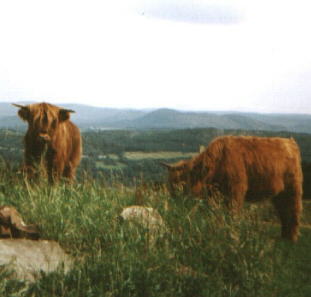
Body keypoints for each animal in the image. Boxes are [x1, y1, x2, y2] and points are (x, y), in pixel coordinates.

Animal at [163, 135, 304, 242]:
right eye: (170, 182)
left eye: (180, 182)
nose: (173, 197)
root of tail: (289, 142)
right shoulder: (215, 196)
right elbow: (217, 215)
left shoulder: (235, 192)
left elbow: (232, 214)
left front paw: (231, 233)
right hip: (279, 194)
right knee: (283, 211)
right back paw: (284, 236)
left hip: (292, 189)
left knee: (293, 210)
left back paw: (292, 237)